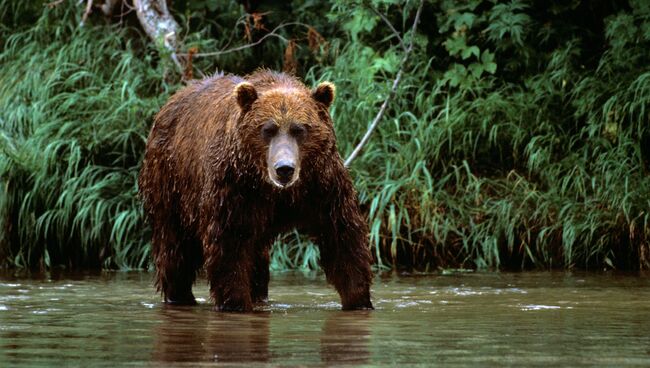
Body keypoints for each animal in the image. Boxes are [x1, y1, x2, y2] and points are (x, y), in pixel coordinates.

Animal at [138, 69, 370, 310]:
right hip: (171, 184)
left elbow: (342, 237)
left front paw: (359, 299)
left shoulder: (322, 185)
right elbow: (230, 245)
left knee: (257, 257)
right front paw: (235, 302)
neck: (274, 190)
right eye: (268, 129)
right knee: (175, 249)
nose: (284, 169)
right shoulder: (235, 188)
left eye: (299, 129)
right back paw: (180, 295)